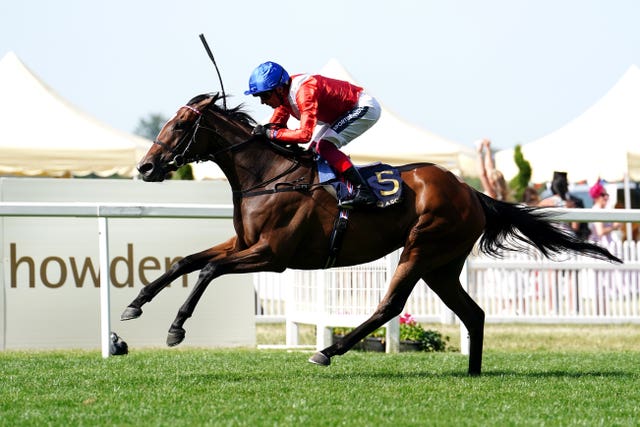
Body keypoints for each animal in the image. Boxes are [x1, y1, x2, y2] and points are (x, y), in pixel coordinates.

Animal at [124, 93, 620, 374]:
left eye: (181, 125)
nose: (145, 167)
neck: (266, 175)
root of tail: (472, 193)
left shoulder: (271, 254)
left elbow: (207, 270)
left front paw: (175, 328)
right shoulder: (245, 244)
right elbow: (186, 262)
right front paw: (134, 305)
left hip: (421, 247)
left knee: (391, 305)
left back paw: (328, 351)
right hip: (442, 265)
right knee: (474, 313)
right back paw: (473, 372)